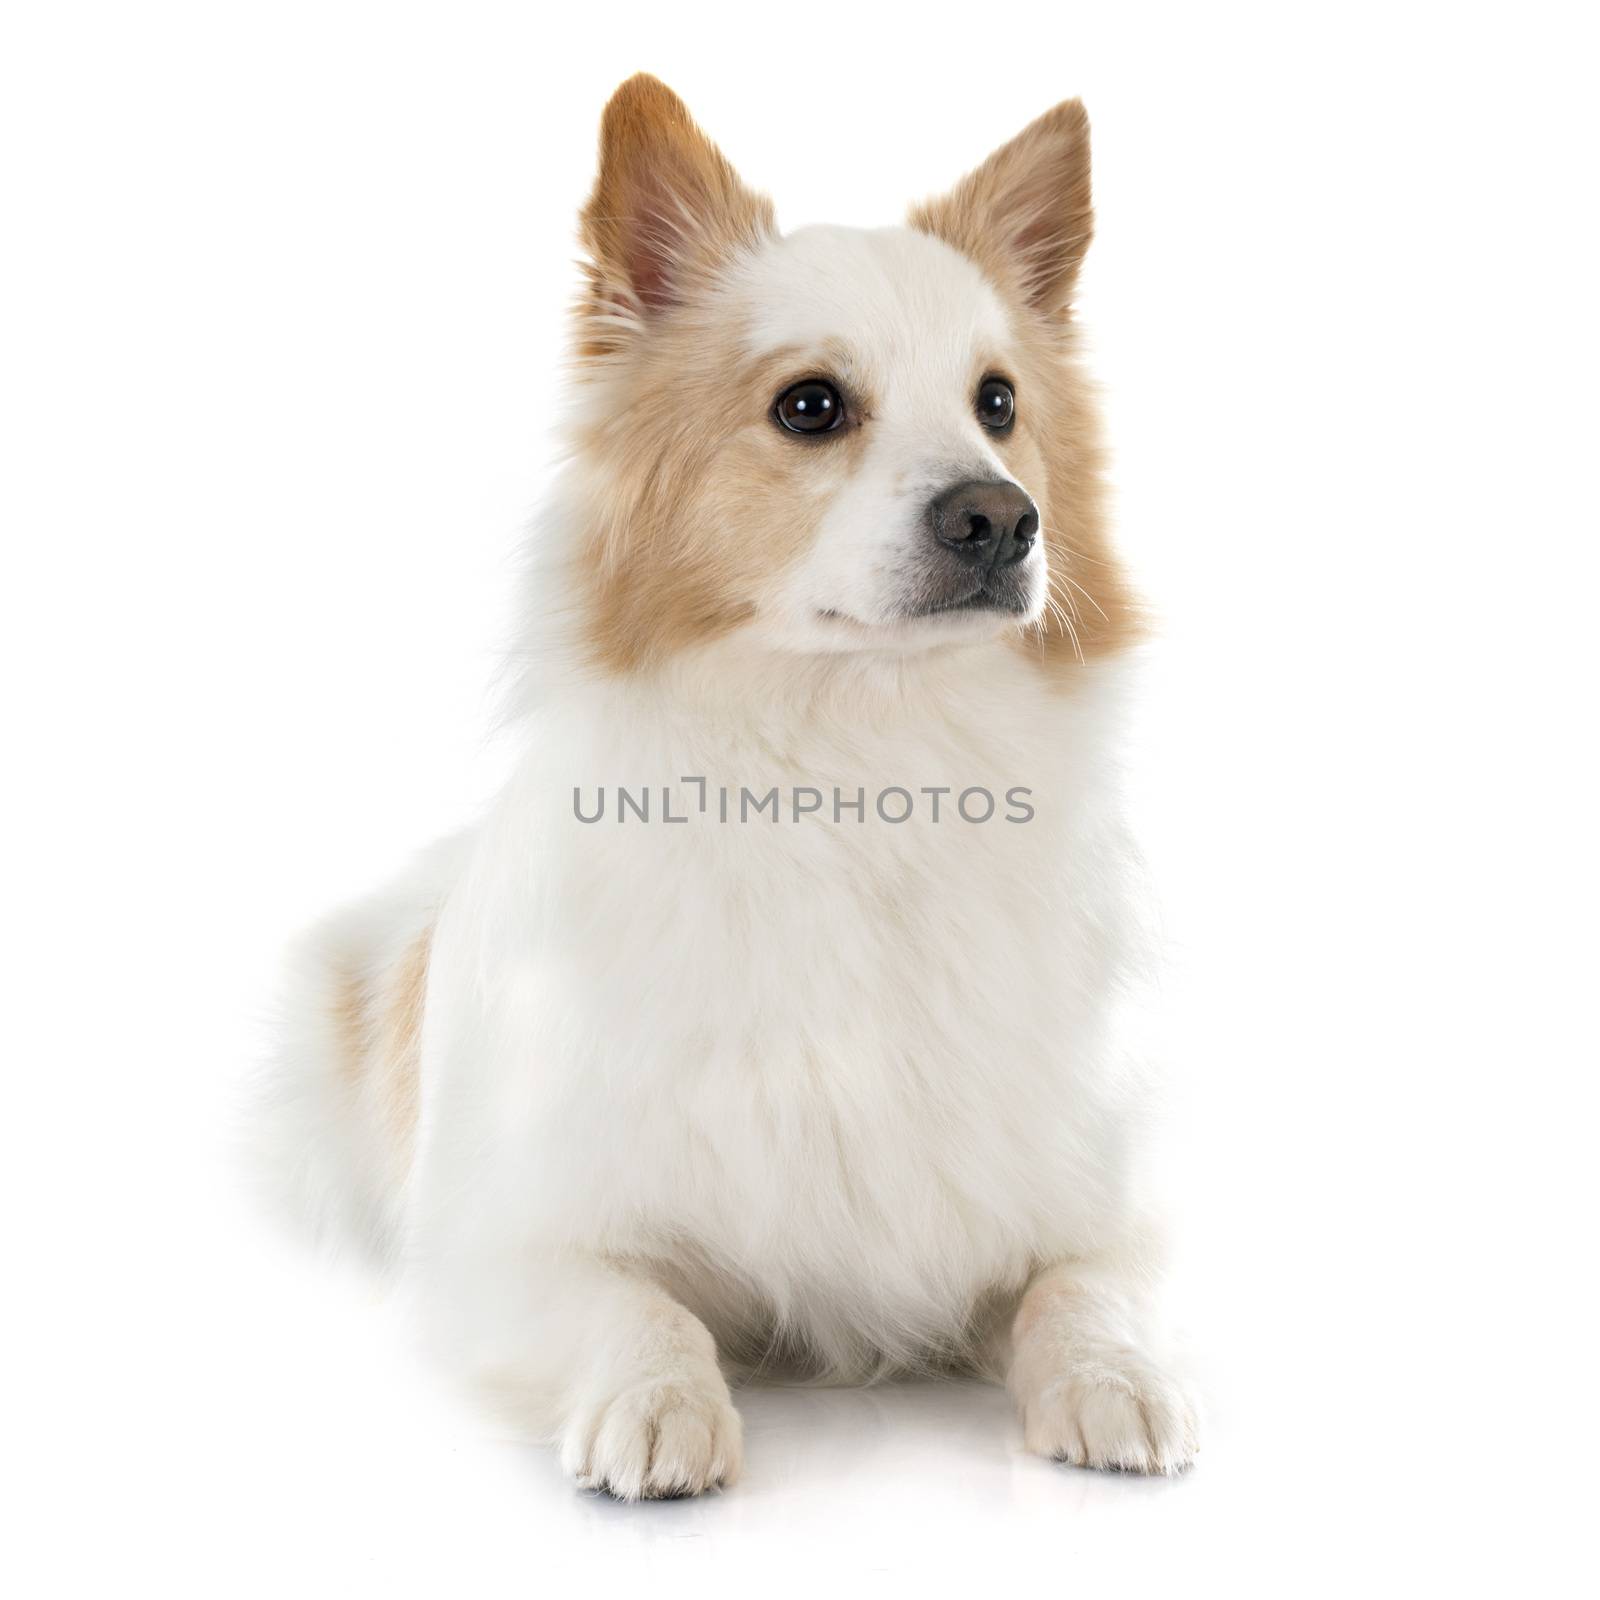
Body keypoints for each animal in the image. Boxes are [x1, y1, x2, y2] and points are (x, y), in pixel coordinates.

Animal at [256, 72, 1196, 1497]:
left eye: (997, 403)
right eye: (809, 406)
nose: (1000, 517)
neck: (857, 765)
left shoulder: (1095, 1203)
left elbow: (1082, 1288)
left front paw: (1117, 1379)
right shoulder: (499, 1250)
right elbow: (640, 1306)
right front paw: (658, 1405)